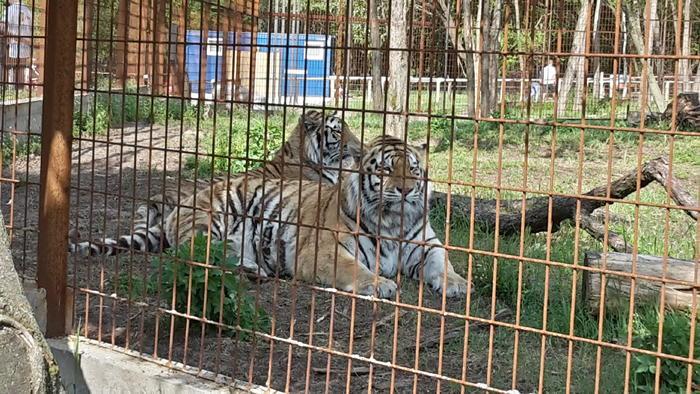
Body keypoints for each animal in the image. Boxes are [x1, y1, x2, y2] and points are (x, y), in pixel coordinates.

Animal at [159, 135, 468, 298]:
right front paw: (380, 284)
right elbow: (354, 269)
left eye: (413, 169)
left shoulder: (427, 246)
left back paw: (253, 270)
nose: (406, 190)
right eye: (386, 170)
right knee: (195, 253)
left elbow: (443, 263)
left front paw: (457, 284)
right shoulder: (323, 250)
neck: (393, 224)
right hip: (211, 219)